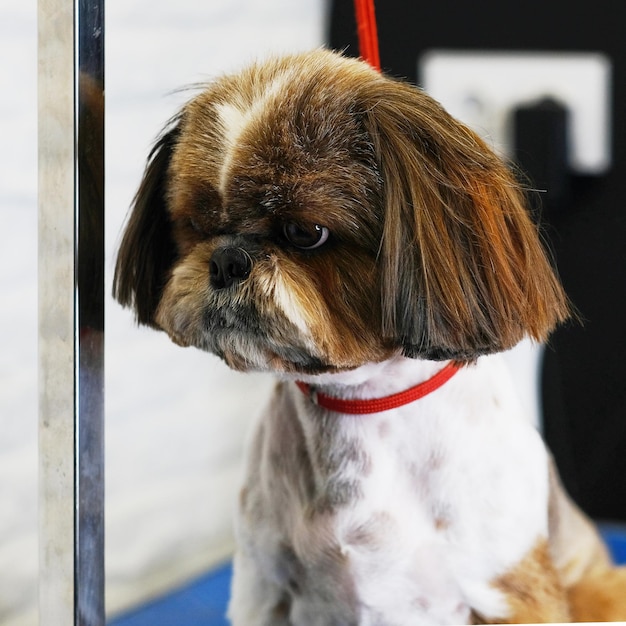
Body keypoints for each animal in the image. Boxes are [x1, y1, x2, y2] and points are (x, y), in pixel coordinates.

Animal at [113, 47, 624, 620]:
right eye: (198, 226)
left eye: (305, 232)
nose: (226, 260)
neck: (358, 404)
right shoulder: (262, 590)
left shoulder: (512, 593)